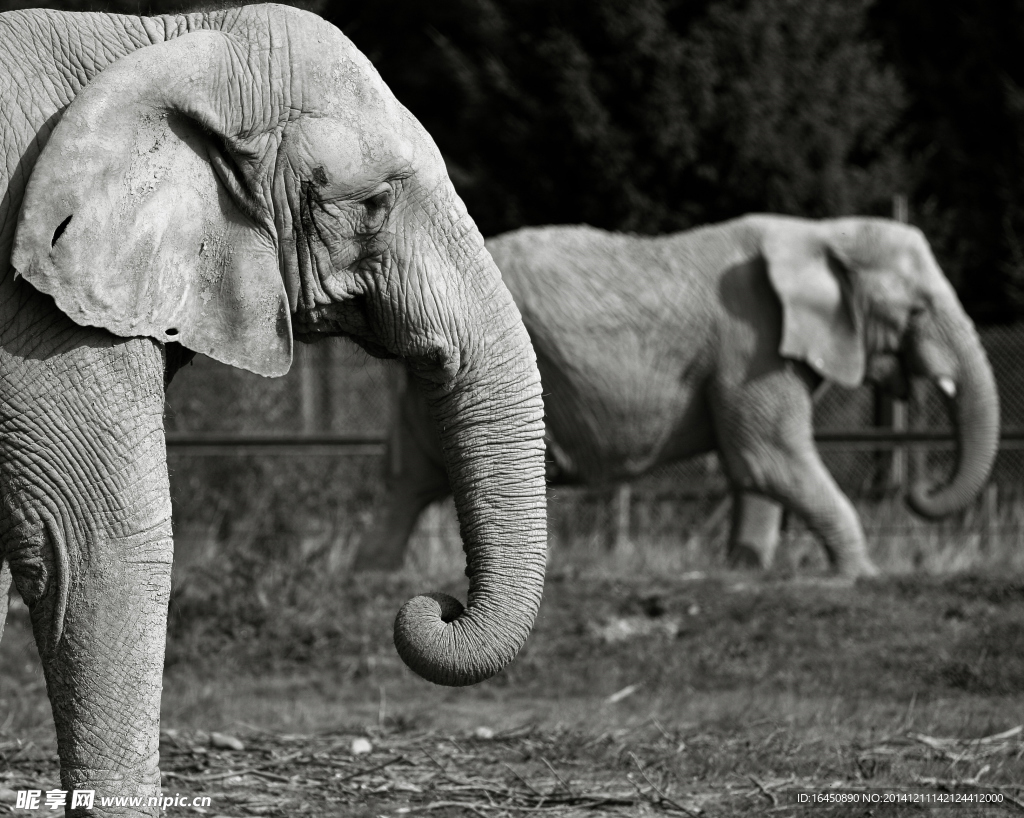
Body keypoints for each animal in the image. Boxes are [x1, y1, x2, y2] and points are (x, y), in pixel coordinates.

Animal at [353, 215, 999, 578]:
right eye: (917, 309)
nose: (914, 489)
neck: (819, 231)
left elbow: (754, 470)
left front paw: (746, 569)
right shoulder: (751, 341)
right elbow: (768, 457)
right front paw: (864, 575)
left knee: (410, 477)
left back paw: (373, 574)